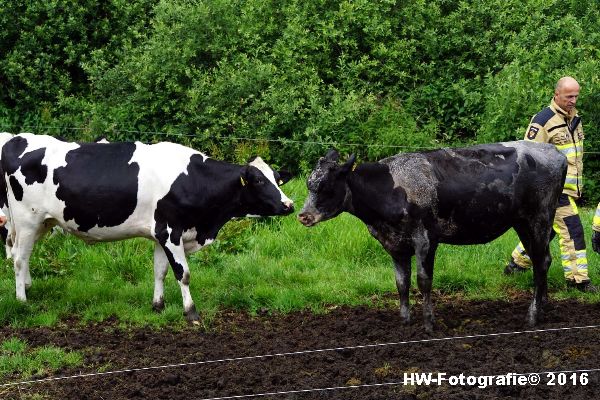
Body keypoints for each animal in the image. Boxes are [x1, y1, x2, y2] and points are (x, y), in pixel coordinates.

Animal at [1, 134, 294, 322]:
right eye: (258, 180)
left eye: (277, 179)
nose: (289, 204)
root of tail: (16, 139)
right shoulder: (170, 231)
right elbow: (183, 274)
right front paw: (191, 313)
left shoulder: (159, 234)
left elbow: (160, 271)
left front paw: (158, 306)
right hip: (26, 220)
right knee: (18, 258)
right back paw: (22, 300)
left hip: (42, 222)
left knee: (23, 256)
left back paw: (28, 286)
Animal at [300, 142, 568, 330]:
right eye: (308, 185)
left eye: (325, 187)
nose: (302, 216)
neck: (390, 188)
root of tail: (554, 152)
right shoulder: (395, 246)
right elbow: (401, 283)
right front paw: (405, 321)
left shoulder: (426, 240)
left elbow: (423, 281)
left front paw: (429, 323)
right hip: (522, 224)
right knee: (542, 260)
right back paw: (543, 306)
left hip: (539, 219)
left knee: (541, 263)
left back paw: (533, 315)